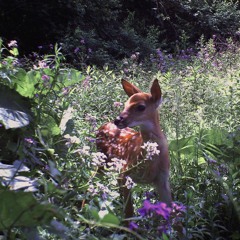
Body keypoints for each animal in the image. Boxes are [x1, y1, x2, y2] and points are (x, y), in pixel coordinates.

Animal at [95, 79, 171, 219]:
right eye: (125, 104)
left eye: (141, 107)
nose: (117, 120)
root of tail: (103, 125)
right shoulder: (125, 172)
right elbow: (129, 211)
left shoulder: (163, 179)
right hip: (101, 163)